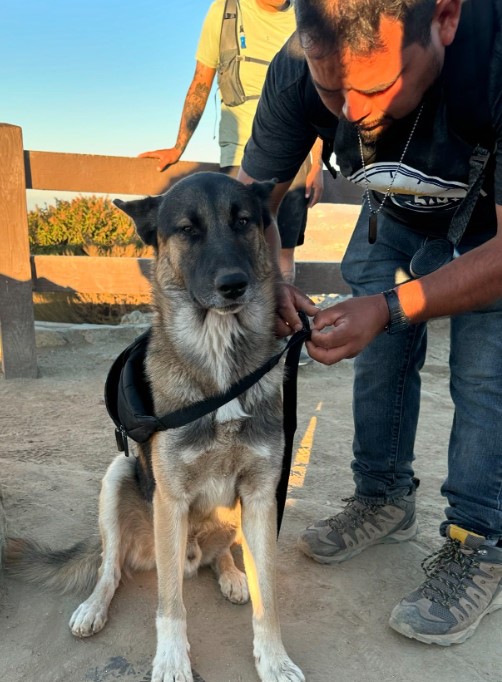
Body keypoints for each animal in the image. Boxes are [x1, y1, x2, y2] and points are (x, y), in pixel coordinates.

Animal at [6, 171, 306, 680]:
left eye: (243, 221)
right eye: (187, 229)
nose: (234, 285)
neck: (219, 361)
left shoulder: (262, 497)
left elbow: (268, 600)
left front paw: (275, 659)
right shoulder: (170, 501)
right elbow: (170, 607)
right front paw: (170, 659)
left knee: (221, 553)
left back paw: (230, 573)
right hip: (117, 477)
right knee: (110, 568)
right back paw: (94, 607)